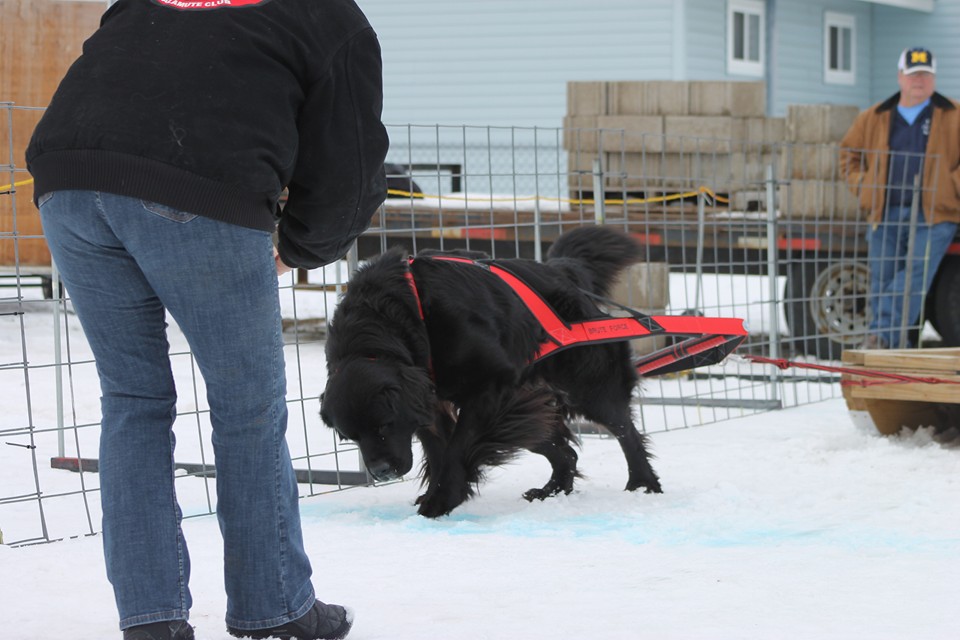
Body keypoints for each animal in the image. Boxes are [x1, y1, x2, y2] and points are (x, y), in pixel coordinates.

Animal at [320, 228, 660, 516]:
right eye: (349, 437)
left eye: (384, 424)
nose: (381, 472)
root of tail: (560, 271)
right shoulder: (429, 402)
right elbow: (438, 448)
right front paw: (439, 492)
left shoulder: (491, 386)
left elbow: (457, 448)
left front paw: (442, 500)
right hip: (527, 405)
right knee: (564, 450)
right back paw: (552, 490)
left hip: (585, 384)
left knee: (624, 429)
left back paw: (643, 484)